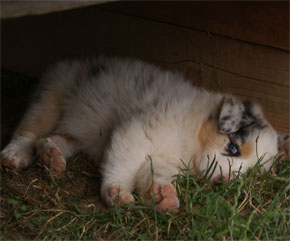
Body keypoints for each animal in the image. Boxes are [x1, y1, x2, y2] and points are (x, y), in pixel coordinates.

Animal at [1, 57, 288, 212]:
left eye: (246, 175)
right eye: (233, 149)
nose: (223, 182)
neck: (193, 138)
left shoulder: (163, 160)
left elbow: (154, 174)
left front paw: (163, 196)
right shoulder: (136, 132)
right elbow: (124, 164)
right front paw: (117, 192)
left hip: (79, 132)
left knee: (51, 138)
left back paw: (52, 157)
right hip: (50, 97)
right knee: (29, 130)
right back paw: (15, 154)